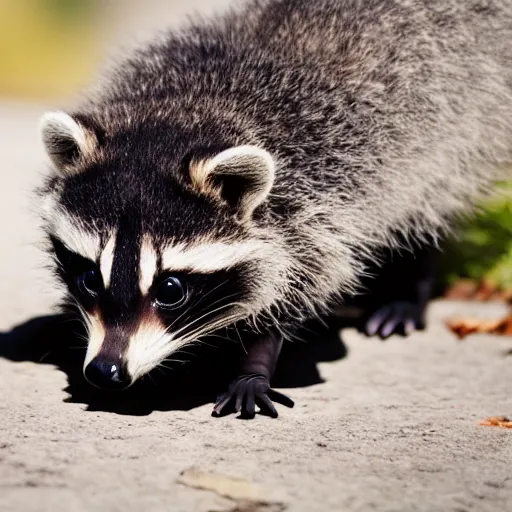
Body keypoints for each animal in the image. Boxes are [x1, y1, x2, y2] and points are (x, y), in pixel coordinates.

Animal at [39, 0, 512, 416]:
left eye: (171, 290)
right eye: (87, 278)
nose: (106, 370)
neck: (183, 112)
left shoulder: (318, 201)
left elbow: (299, 286)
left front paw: (254, 363)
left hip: (454, 133)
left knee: (425, 208)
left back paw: (407, 290)